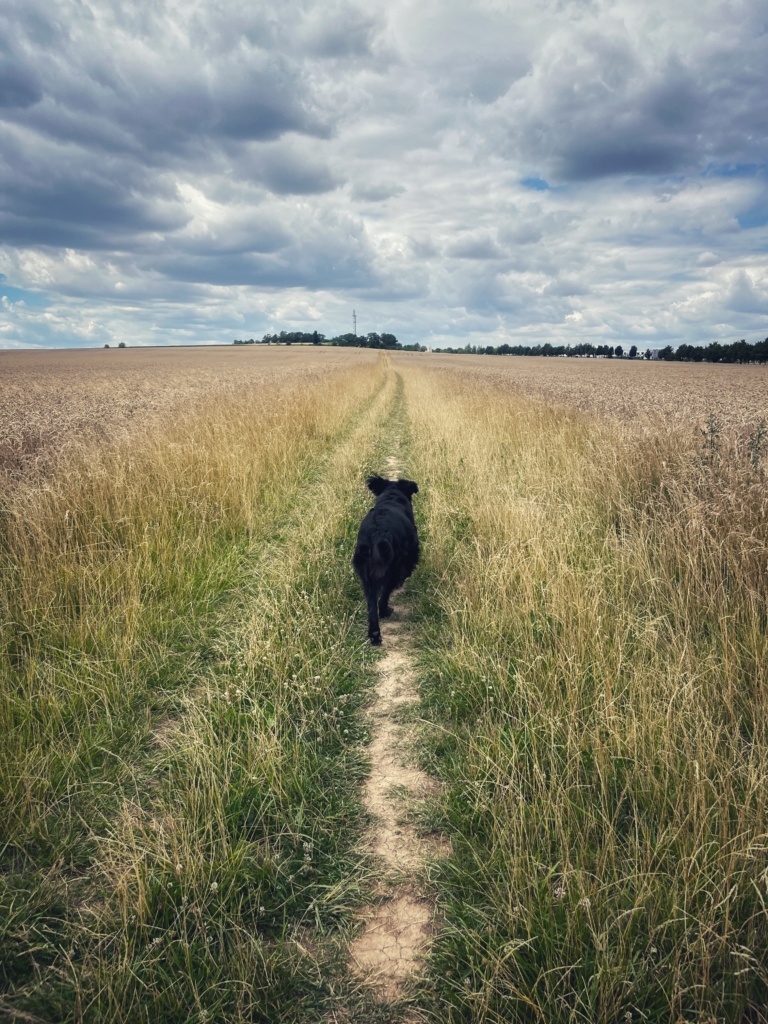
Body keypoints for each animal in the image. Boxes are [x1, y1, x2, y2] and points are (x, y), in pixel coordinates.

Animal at [354, 475, 421, 643]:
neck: (392, 495)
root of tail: (378, 532)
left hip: (366, 575)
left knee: (372, 604)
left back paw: (374, 634)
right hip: (393, 567)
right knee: (385, 593)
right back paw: (385, 611)